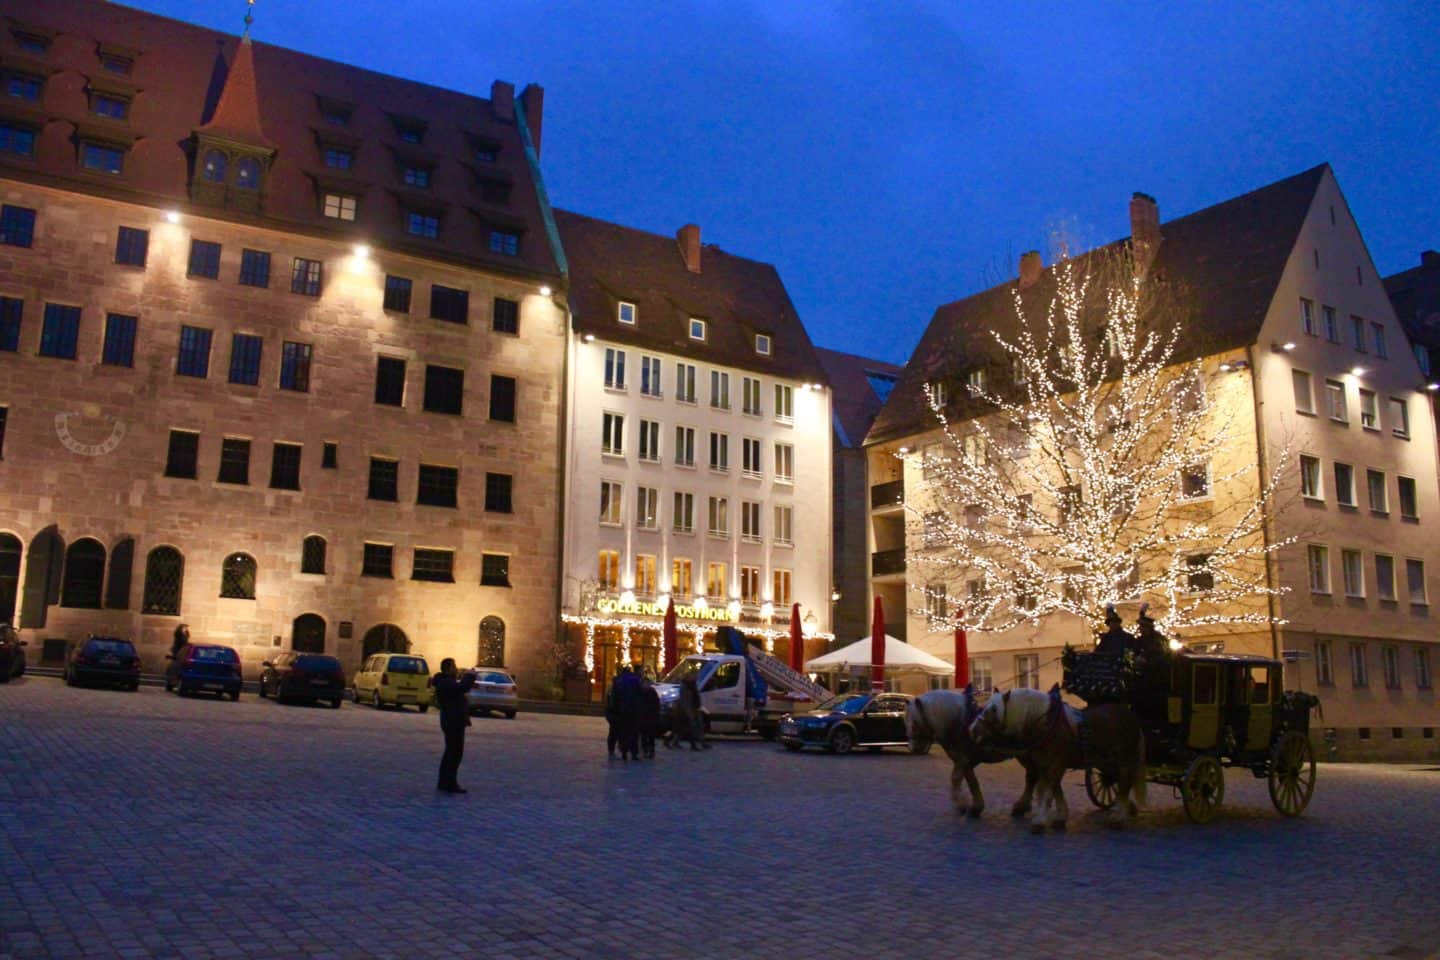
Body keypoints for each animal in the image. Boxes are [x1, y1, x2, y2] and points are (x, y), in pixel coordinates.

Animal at [898, 690, 1036, 817]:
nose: (913, 748)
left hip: (1026, 755)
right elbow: (970, 781)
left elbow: (957, 778)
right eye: (905, 722)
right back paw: (1025, 806)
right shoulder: (963, 761)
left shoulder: (964, 759)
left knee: (1031, 777)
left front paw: (962, 804)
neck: (959, 721)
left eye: (914, 724)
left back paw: (1022, 806)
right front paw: (975, 806)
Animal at [967, 687, 1146, 829]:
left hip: (1124, 759)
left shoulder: (1055, 764)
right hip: (1107, 762)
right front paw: (1060, 816)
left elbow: (1046, 790)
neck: (1046, 724)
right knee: (1117, 781)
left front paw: (1040, 820)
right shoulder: (1044, 764)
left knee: (1125, 783)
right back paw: (1125, 808)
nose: (972, 730)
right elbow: (1055, 788)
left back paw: (1119, 816)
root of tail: (1129, 714)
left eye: (993, 710)